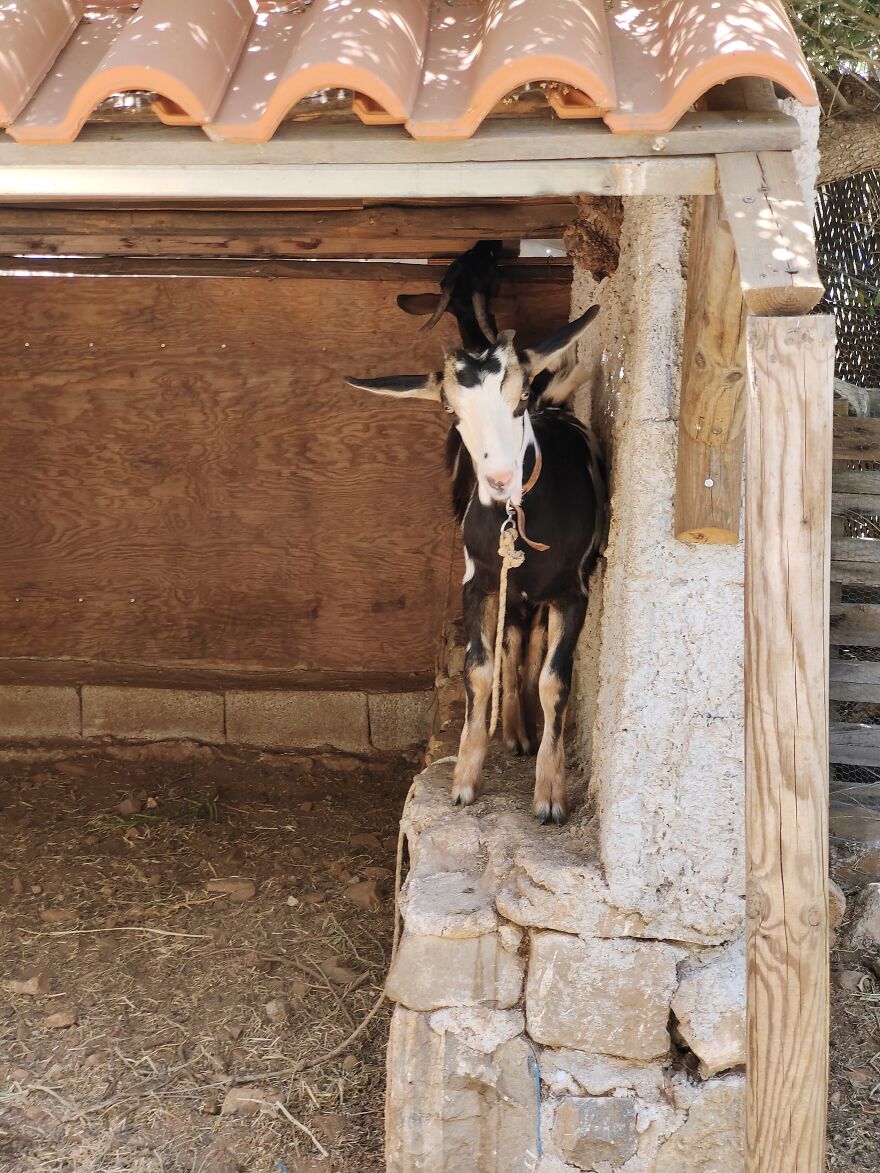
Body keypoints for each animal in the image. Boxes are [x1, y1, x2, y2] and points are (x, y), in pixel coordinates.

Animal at [346, 245, 606, 824]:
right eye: (451, 409)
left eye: (520, 396)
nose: (500, 478)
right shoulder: (478, 581)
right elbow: (479, 668)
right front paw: (465, 779)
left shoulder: (573, 591)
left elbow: (554, 680)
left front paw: (550, 795)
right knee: (510, 642)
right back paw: (512, 729)